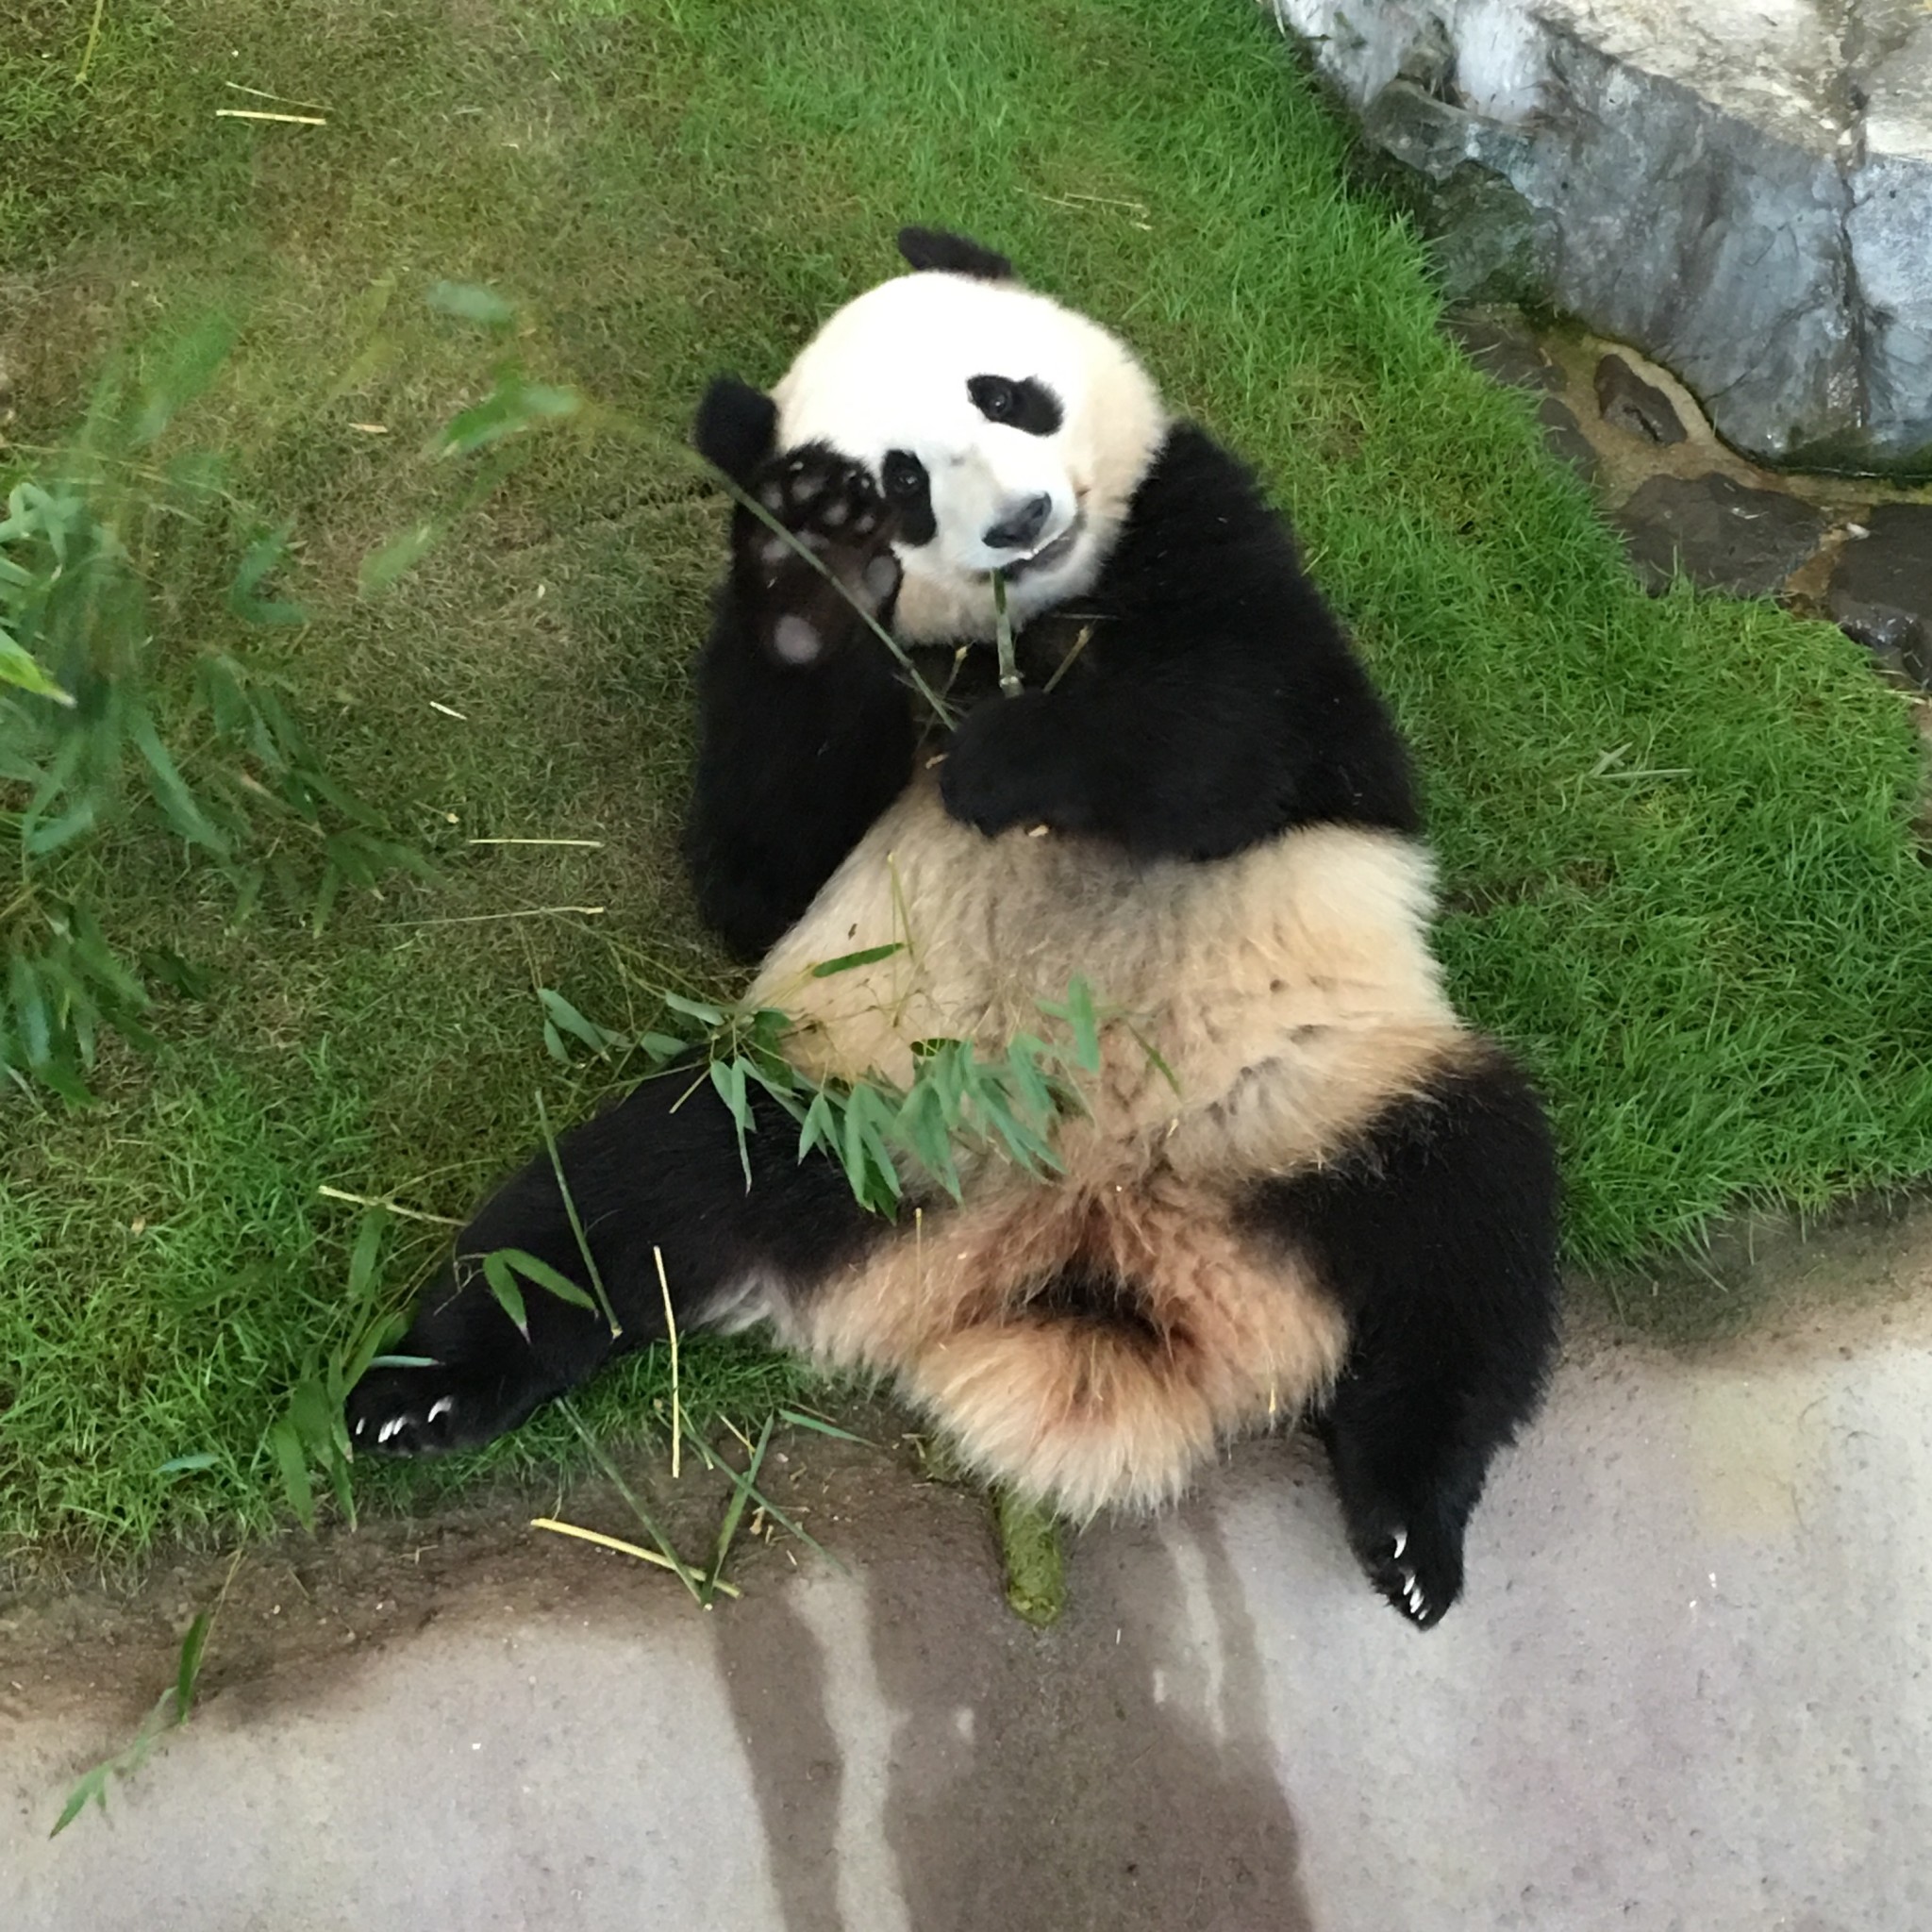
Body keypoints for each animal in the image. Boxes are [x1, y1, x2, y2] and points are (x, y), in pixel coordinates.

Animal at [348, 226, 1561, 1628]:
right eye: (904, 488)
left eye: (1008, 395)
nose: (1026, 522)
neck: (1027, 623)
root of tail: (1077, 1242)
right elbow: (762, 867)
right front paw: (810, 577)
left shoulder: (1210, 533)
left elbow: (1234, 731)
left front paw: (1005, 764)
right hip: (831, 1109)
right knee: (619, 1200)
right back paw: (417, 1390)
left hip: (1322, 1095)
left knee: (1469, 1239)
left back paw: (1414, 1524)